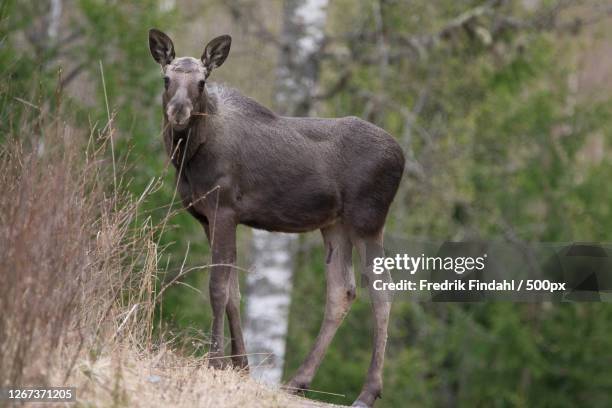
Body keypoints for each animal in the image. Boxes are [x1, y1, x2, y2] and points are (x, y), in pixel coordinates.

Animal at [148, 29, 404, 408]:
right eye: (167, 78)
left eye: (202, 81)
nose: (178, 111)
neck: (189, 157)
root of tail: (402, 156)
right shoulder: (208, 217)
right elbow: (234, 291)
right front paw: (241, 366)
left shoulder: (224, 208)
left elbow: (217, 288)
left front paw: (215, 360)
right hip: (335, 225)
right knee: (342, 291)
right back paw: (298, 381)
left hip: (368, 219)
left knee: (382, 291)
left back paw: (367, 392)